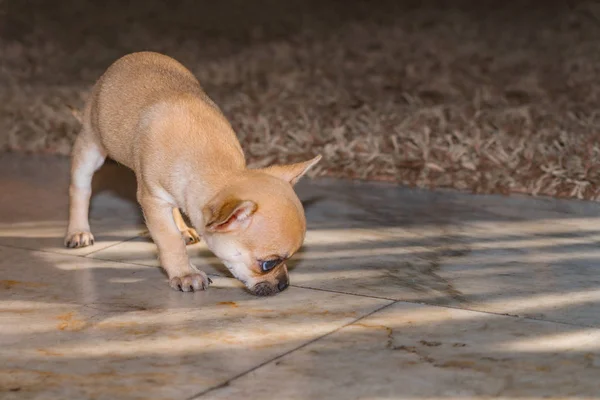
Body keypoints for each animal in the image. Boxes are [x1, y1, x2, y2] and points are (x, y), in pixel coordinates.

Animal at [63, 50, 322, 296]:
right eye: (268, 264)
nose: (284, 285)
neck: (214, 164)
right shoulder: (153, 201)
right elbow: (169, 240)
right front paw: (185, 274)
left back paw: (184, 228)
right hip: (91, 145)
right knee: (81, 188)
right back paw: (78, 231)